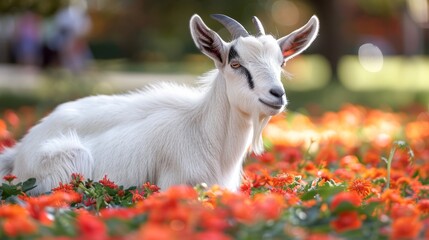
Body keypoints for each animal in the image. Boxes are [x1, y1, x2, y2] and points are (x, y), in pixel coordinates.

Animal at [0, 13, 314, 194]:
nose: (276, 94)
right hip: (71, 161)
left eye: (281, 62)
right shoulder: (175, 186)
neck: (205, 133)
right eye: (236, 64)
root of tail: (21, 149)